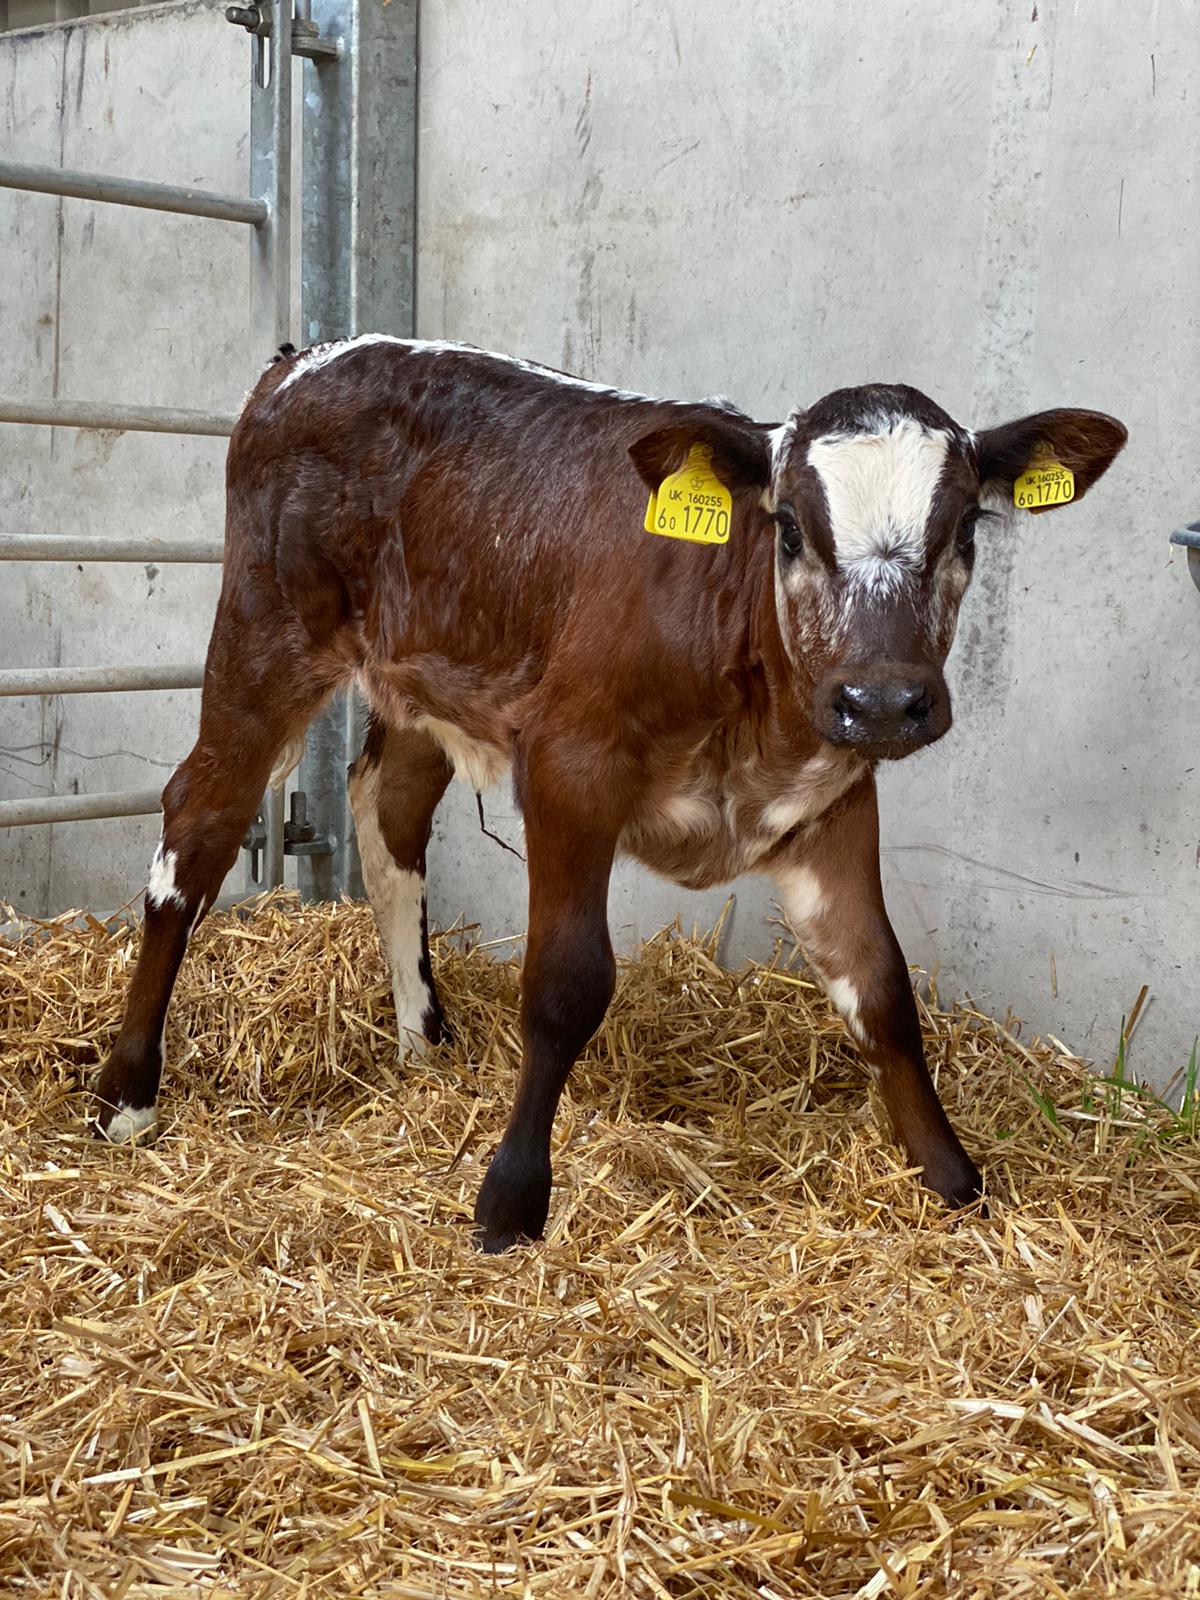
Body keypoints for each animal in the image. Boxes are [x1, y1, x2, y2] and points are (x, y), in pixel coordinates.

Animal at [90, 337, 1126, 1251]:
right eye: (789, 525)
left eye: (966, 529)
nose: (881, 700)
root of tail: (309, 357)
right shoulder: (568, 769)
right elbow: (565, 984)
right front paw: (510, 1202)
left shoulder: (832, 797)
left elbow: (880, 985)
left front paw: (953, 1180)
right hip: (266, 634)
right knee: (199, 822)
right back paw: (128, 1092)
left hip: (422, 673)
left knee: (386, 812)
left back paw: (424, 1043)